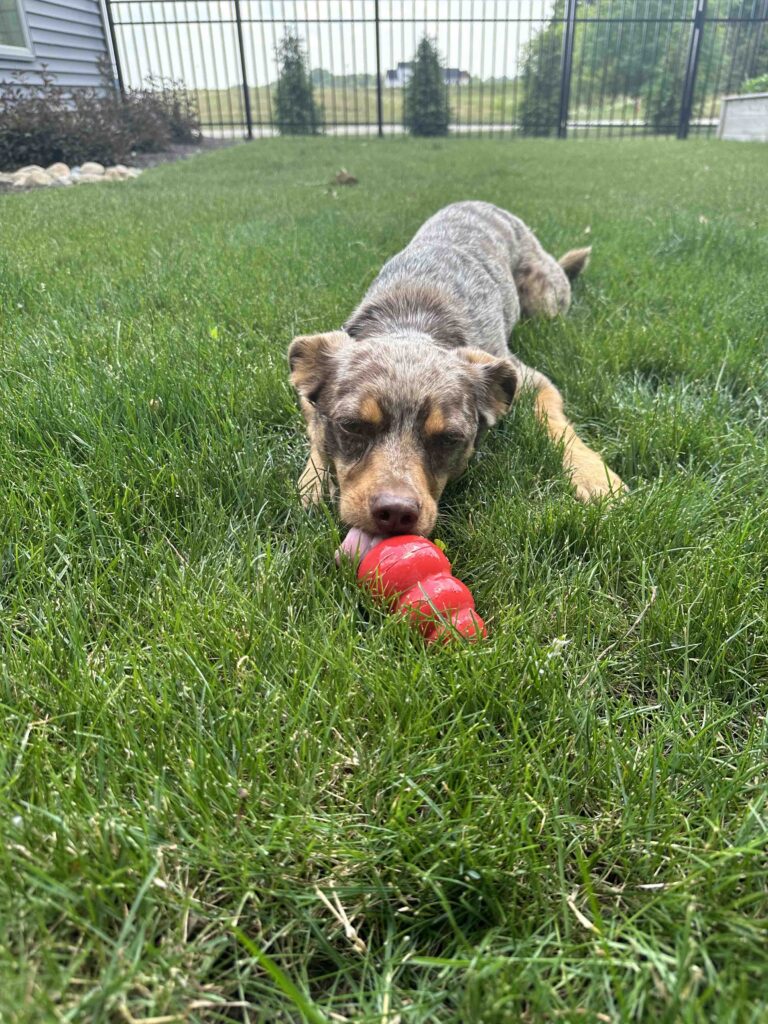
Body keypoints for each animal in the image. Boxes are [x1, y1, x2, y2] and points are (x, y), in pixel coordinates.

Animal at [288, 194, 626, 540]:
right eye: (352, 425)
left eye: (449, 438)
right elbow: (314, 431)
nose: (395, 512)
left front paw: (595, 475)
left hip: (546, 302)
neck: (411, 323)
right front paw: (312, 481)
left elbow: (558, 424)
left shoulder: (530, 379)